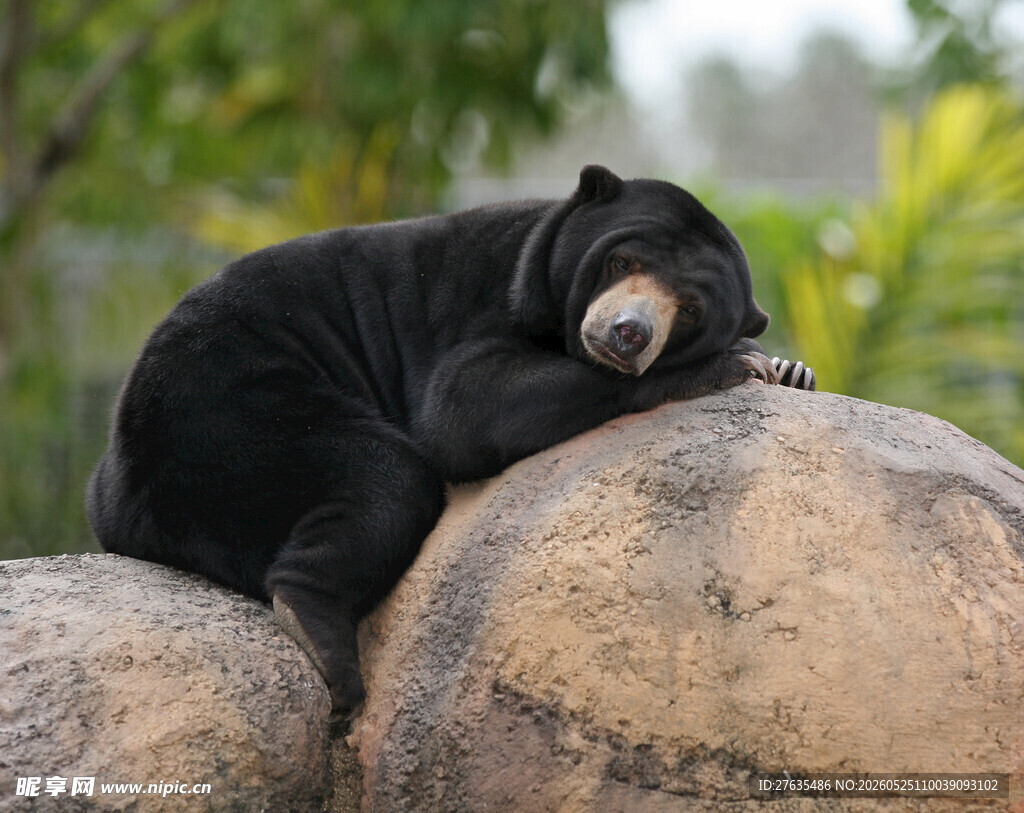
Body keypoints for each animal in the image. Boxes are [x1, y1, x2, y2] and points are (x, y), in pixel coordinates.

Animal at [87, 165, 815, 715]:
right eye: (622, 260)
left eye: (688, 309)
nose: (629, 333)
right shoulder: (483, 302)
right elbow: (462, 409)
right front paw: (737, 363)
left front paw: (791, 369)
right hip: (229, 407)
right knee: (385, 477)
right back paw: (323, 643)